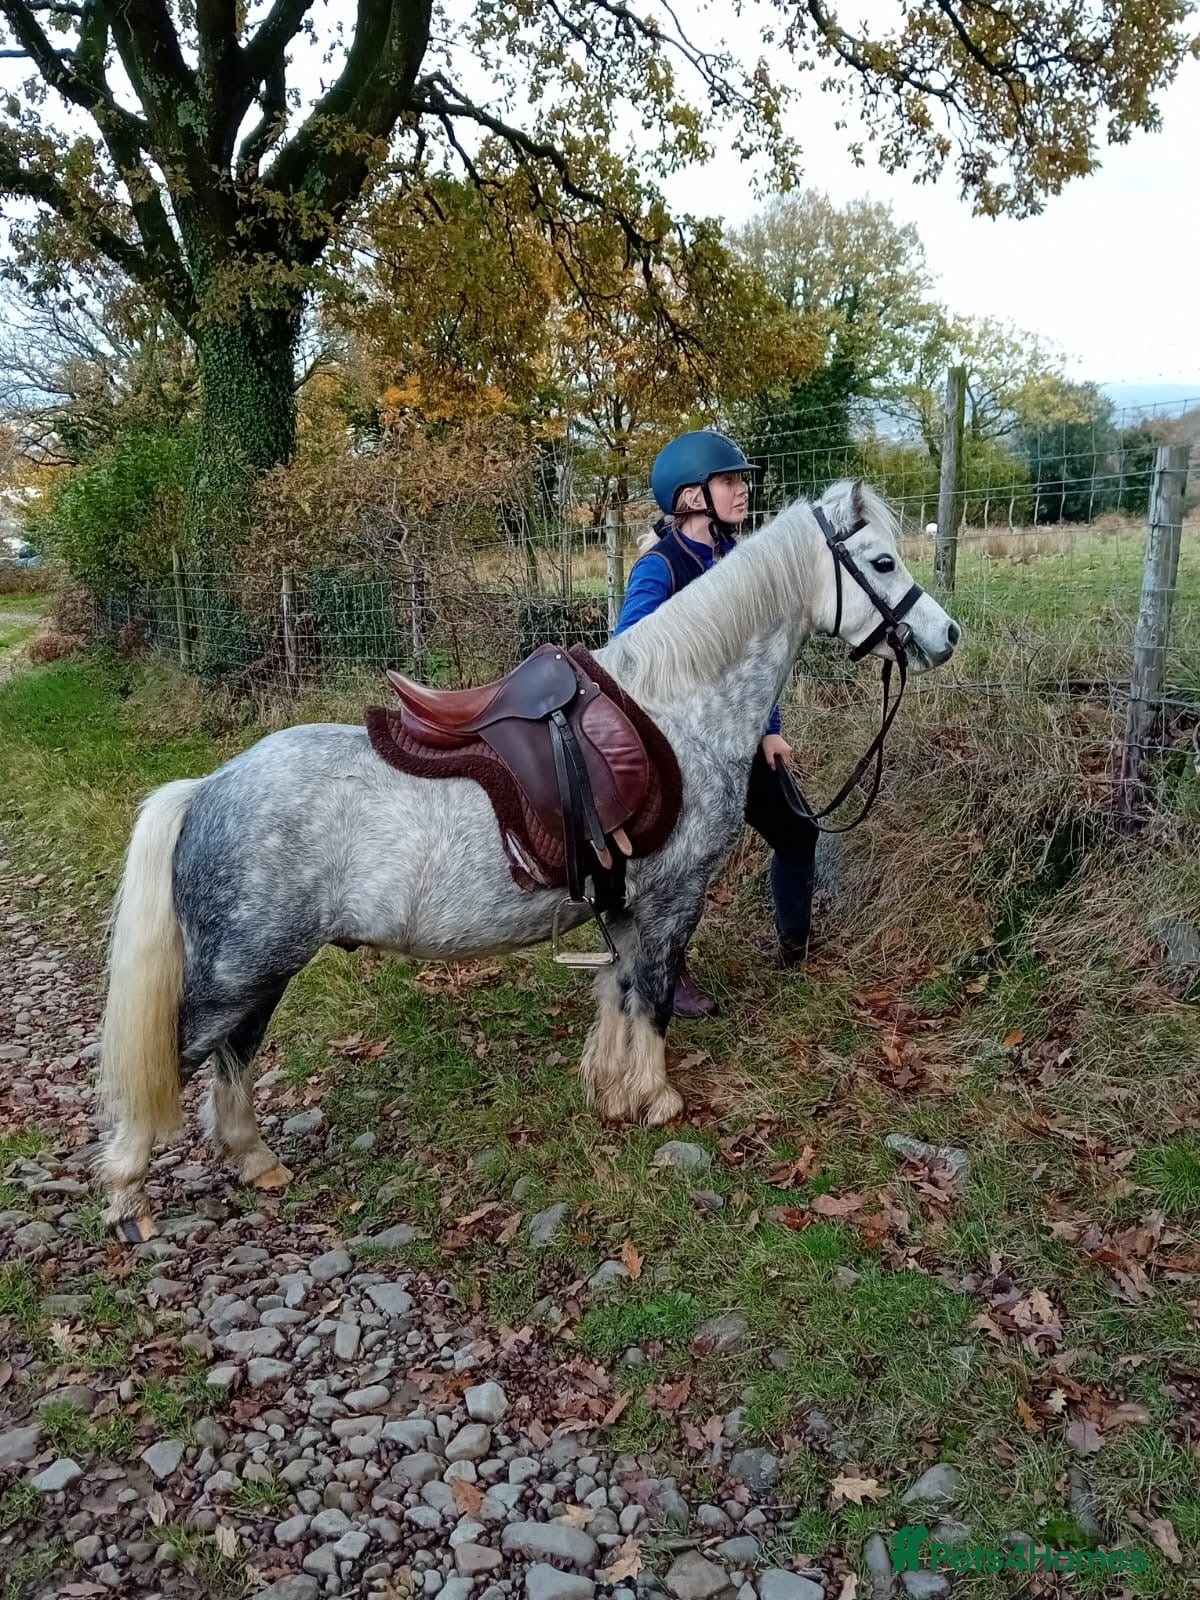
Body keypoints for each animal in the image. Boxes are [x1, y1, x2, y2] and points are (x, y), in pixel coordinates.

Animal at [96, 479, 961, 1241]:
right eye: (883, 561)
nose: (946, 636)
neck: (678, 710)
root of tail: (208, 789)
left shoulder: (624, 905)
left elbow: (620, 994)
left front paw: (612, 1091)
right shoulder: (673, 899)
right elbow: (651, 996)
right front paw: (656, 1098)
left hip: (261, 971)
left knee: (234, 1059)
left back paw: (253, 1161)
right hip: (240, 971)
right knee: (180, 1060)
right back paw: (128, 1197)